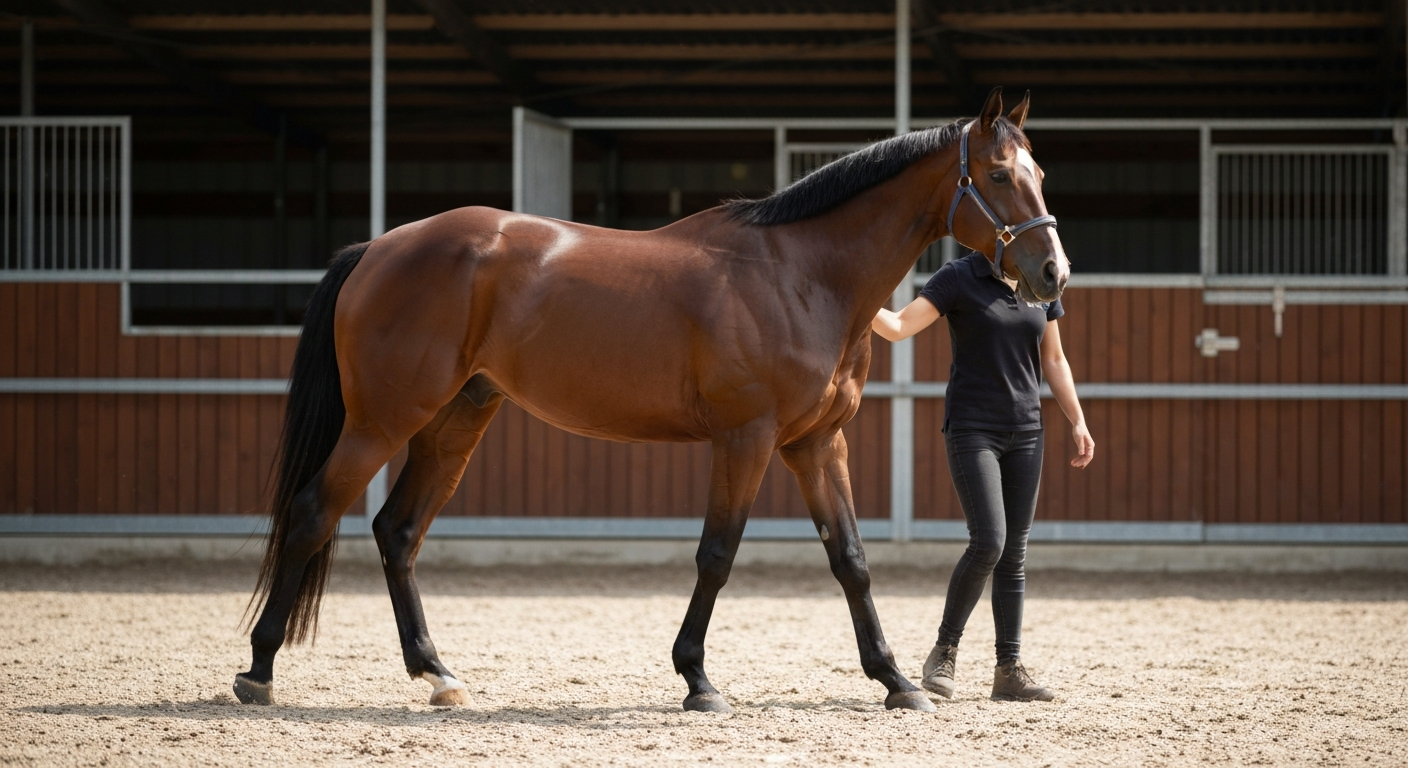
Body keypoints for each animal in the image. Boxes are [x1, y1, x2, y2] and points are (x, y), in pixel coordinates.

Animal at [234, 87, 1068, 714]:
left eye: (1040, 171)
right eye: (999, 175)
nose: (1052, 274)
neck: (801, 273)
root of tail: (378, 247)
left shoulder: (815, 443)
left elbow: (852, 560)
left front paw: (896, 682)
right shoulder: (747, 439)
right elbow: (717, 554)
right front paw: (698, 679)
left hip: (455, 420)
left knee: (398, 532)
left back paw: (437, 674)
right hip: (381, 422)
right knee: (314, 514)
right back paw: (258, 672)